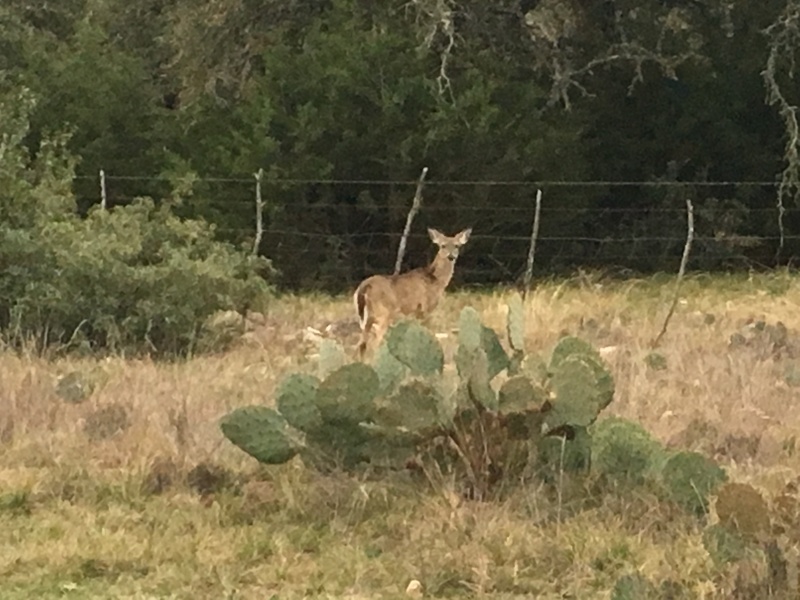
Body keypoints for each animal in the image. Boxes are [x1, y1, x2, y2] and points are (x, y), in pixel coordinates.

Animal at [353, 227, 472, 359]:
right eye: (443, 246)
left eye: (457, 246)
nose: (451, 256)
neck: (436, 281)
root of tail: (364, 286)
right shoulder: (426, 308)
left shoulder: (416, 312)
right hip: (384, 313)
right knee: (374, 343)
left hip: (367, 317)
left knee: (361, 344)